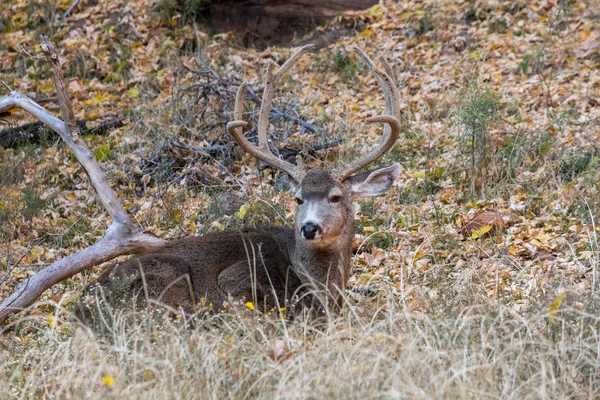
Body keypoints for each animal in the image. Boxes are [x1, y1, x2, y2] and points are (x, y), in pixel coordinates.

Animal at [76, 44, 404, 324]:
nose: (309, 228)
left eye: (335, 197)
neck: (319, 284)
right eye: (298, 198)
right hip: (169, 273)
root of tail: (82, 308)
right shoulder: (240, 278)